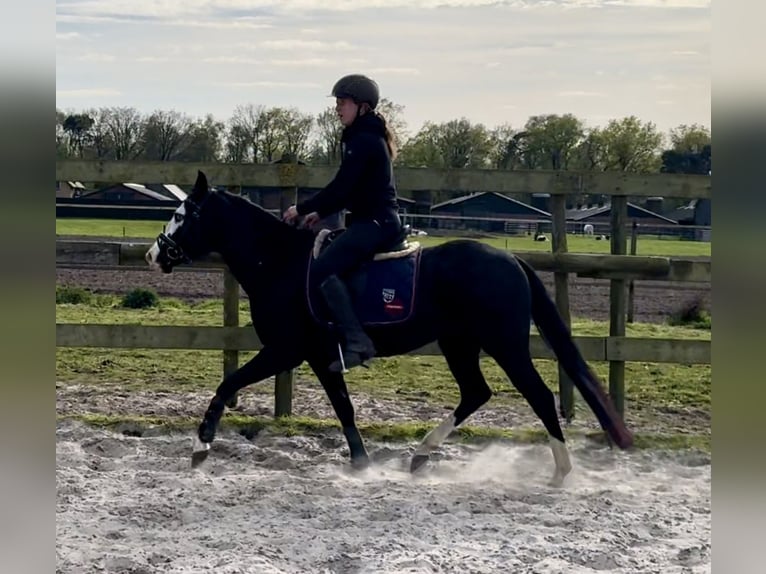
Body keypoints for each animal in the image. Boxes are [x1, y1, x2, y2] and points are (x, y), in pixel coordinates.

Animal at [145, 170, 633, 485]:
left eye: (182, 216)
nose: (154, 255)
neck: (279, 262)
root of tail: (512, 259)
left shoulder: (285, 350)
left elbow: (228, 384)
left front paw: (201, 448)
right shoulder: (321, 357)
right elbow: (344, 409)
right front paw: (362, 464)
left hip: (504, 344)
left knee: (539, 396)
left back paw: (561, 471)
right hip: (459, 343)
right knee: (476, 393)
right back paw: (420, 457)